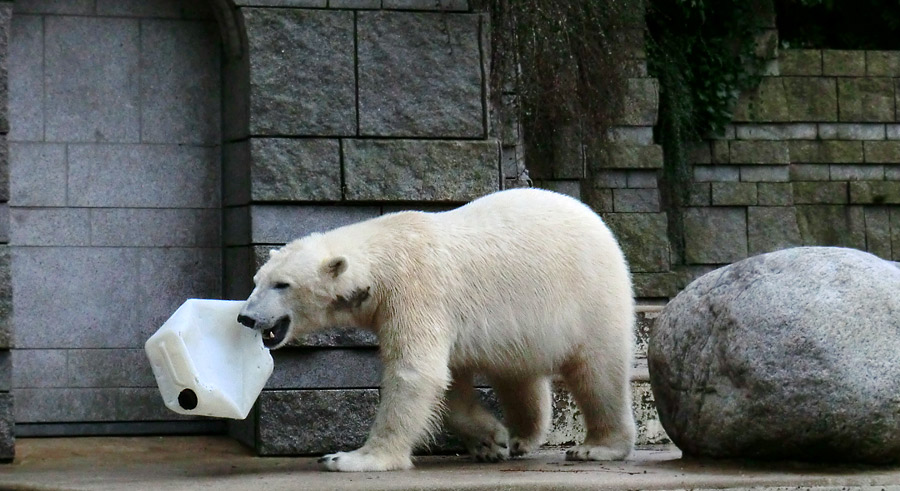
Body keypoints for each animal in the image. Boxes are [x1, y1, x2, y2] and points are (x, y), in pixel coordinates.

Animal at [236, 188, 636, 472]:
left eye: (282, 285)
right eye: (257, 281)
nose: (246, 317)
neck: (383, 257)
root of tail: (600, 225)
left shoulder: (415, 290)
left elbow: (416, 372)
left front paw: (351, 458)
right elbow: (449, 382)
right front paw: (490, 440)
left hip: (590, 295)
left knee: (598, 373)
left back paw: (598, 447)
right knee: (517, 374)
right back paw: (522, 437)